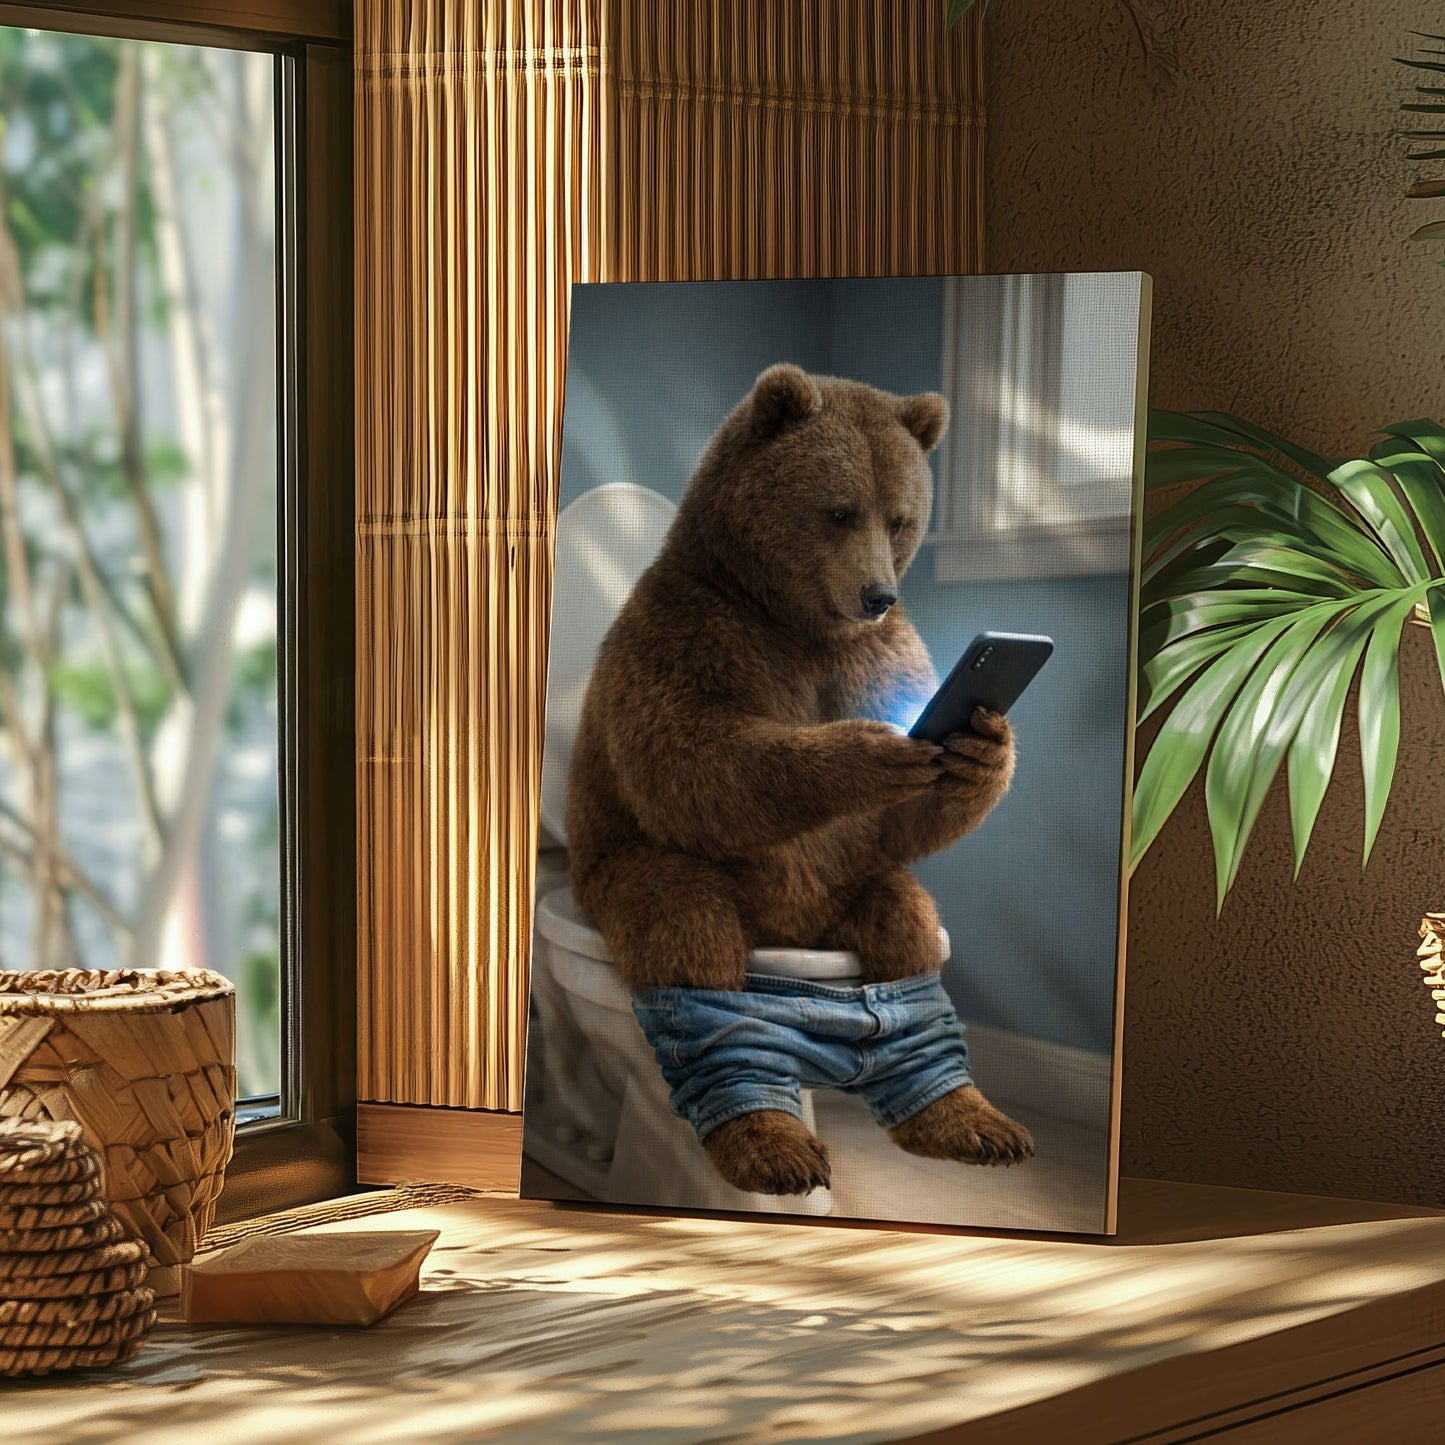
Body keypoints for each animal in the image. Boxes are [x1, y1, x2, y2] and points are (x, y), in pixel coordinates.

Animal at [566, 362, 1036, 1198]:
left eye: (900, 518)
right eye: (839, 511)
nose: (877, 593)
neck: (794, 620)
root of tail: (789, 931)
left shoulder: (876, 653)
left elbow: (907, 821)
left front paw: (983, 747)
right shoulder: (685, 633)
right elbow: (689, 762)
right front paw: (864, 753)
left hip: (848, 885)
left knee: (908, 934)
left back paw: (965, 1118)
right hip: (632, 871)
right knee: (685, 931)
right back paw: (767, 1140)